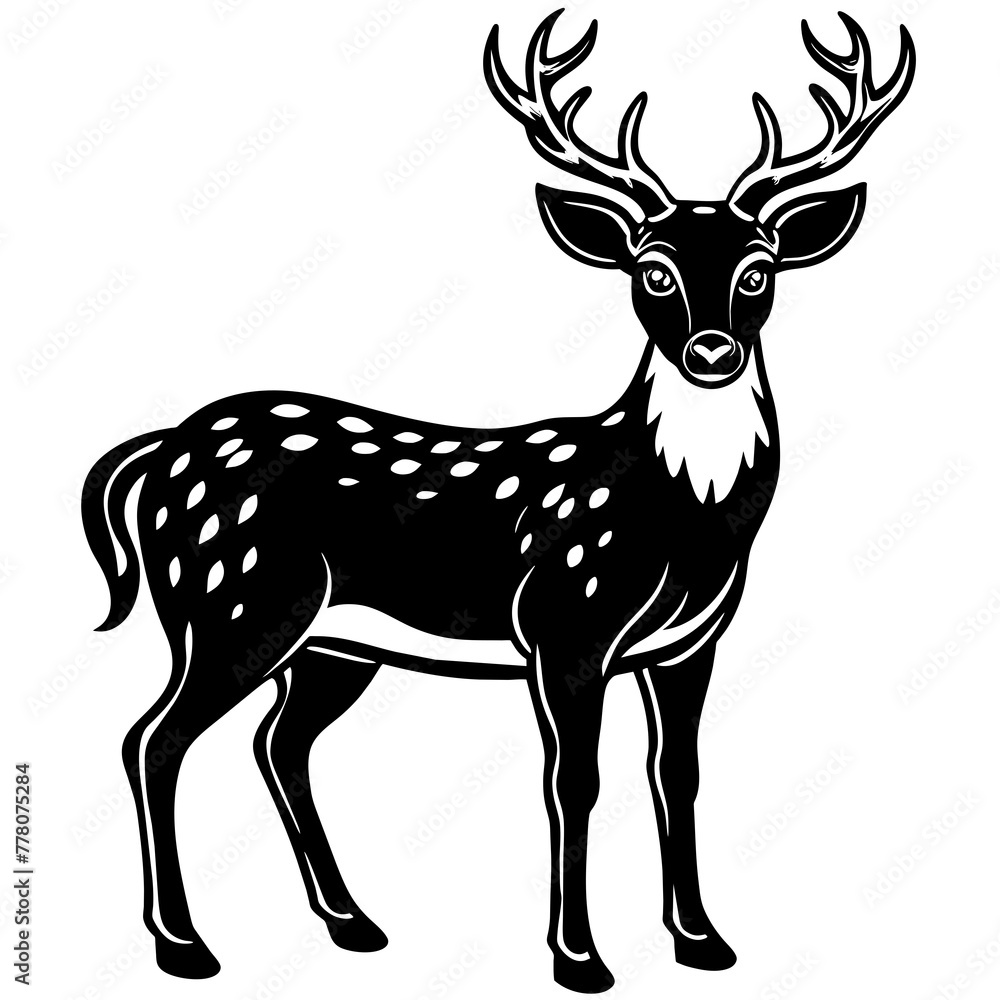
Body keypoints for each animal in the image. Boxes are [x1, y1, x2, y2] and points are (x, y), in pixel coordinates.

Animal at [82, 10, 914, 994]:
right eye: (652, 270)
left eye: (760, 269)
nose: (711, 352)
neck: (686, 516)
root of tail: (161, 447)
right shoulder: (564, 622)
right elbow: (574, 781)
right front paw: (580, 958)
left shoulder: (692, 642)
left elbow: (679, 773)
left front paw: (703, 941)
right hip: (230, 602)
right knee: (155, 739)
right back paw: (183, 944)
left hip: (328, 643)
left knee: (276, 746)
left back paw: (352, 923)